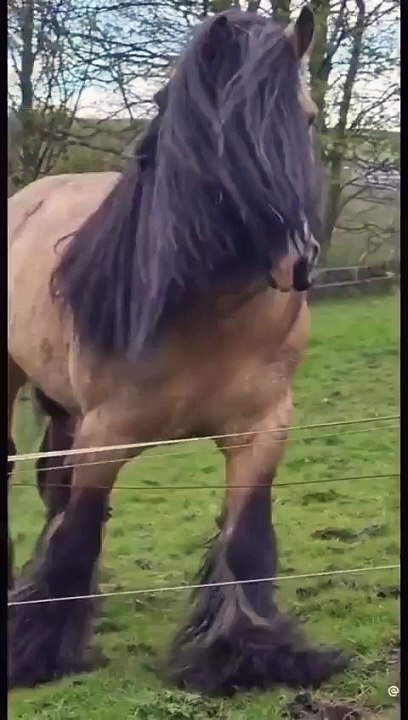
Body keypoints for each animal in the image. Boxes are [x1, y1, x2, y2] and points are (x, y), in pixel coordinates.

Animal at [8, 6, 348, 695]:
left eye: (305, 117)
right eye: (221, 133)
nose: (297, 264)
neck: (208, 311)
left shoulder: (263, 429)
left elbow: (244, 540)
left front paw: (247, 654)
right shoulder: (105, 436)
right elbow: (80, 531)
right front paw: (33, 653)